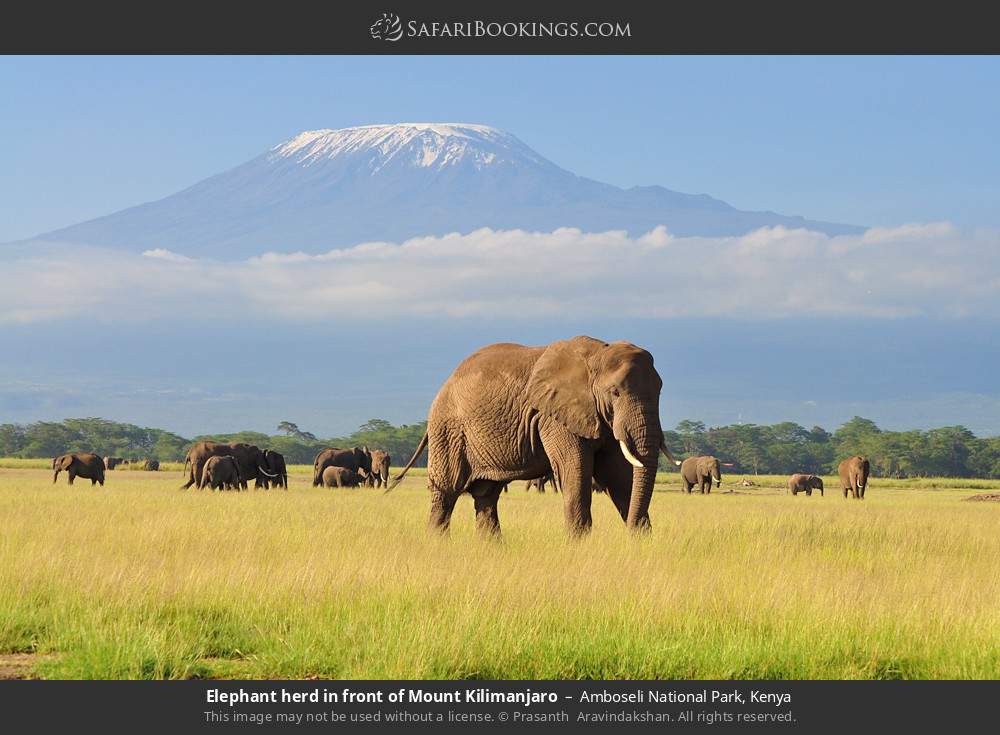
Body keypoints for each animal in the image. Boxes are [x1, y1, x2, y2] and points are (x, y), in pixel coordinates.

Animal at [389, 336, 684, 537]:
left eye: (659, 391)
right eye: (615, 392)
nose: (632, 532)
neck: (598, 354)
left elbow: (620, 476)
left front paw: (641, 541)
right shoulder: (554, 417)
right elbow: (575, 472)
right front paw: (579, 545)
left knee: (486, 495)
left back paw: (493, 550)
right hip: (448, 429)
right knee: (446, 492)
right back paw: (437, 543)